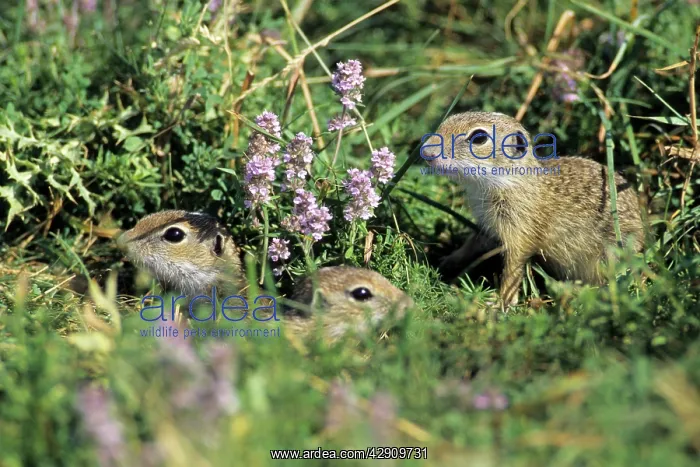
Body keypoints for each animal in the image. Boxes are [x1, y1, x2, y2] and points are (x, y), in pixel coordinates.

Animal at [423, 111, 644, 306]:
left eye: (479, 138)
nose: (426, 152)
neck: (507, 180)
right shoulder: (486, 226)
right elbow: (471, 244)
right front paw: (447, 260)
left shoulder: (520, 231)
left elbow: (513, 267)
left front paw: (501, 301)